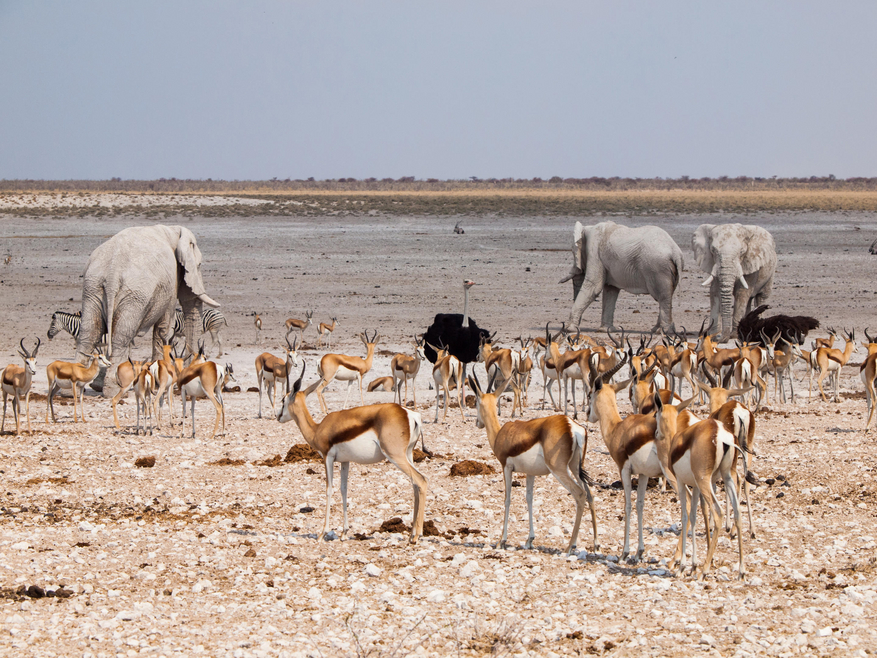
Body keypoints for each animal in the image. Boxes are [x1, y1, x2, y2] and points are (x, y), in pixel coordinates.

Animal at [78, 223, 218, 392]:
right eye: (199, 265)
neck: (173, 230)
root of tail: (112, 273)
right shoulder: (171, 282)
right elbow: (164, 330)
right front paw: (160, 382)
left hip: (93, 288)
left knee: (89, 333)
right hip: (133, 295)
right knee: (121, 337)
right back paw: (114, 388)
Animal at [274, 362, 424, 540]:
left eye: (283, 399)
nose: (278, 416)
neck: (317, 429)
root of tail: (410, 414)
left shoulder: (327, 457)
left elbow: (329, 489)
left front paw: (322, 533)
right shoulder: (345, 461)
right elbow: (343, 489)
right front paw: (344, 532)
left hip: (395, 455)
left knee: (421, 480)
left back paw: (417, 536)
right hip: (408, 454)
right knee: (415, 485)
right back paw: (412, 533)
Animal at [468, 374, 600, 552]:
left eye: (475, 401)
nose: (477, 423)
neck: (500, 435)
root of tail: (572, 426)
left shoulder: (506, 467)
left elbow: (507, 499)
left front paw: (501, 541)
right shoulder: (530, 473)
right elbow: (529, 498)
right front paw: (529, 539)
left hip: (559, 470)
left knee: (580, 494)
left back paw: (570, 546)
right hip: (575, 467)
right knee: (590, 494)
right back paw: (595, 543)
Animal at [652, 392, 748, 576]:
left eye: (655, 415)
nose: (655, 433)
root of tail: (720, 433)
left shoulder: (681, 482)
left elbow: (685, 515)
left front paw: (683, 565)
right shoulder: (695, 486)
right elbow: (695, 517)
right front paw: (693, 564)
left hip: (705, 480)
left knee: (718, 512)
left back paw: (704, 570)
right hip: (726, 476)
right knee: (738, 511)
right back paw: (740, 570)